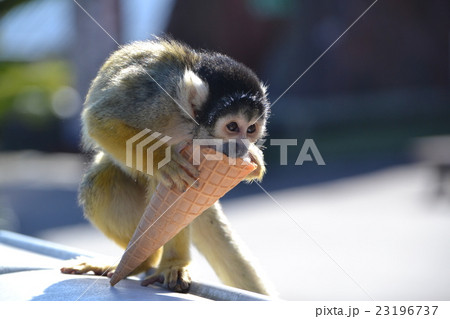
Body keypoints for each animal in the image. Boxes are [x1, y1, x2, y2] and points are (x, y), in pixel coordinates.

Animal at [62, 38, 274, 296]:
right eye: (233, 127)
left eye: (251, 129)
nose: (242, 147)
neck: (190, 125)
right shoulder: (157, 100)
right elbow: (100, 120)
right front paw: (163, 161)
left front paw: (255, 159)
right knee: (106, 178)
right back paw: (145, 261)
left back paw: (169, 263)